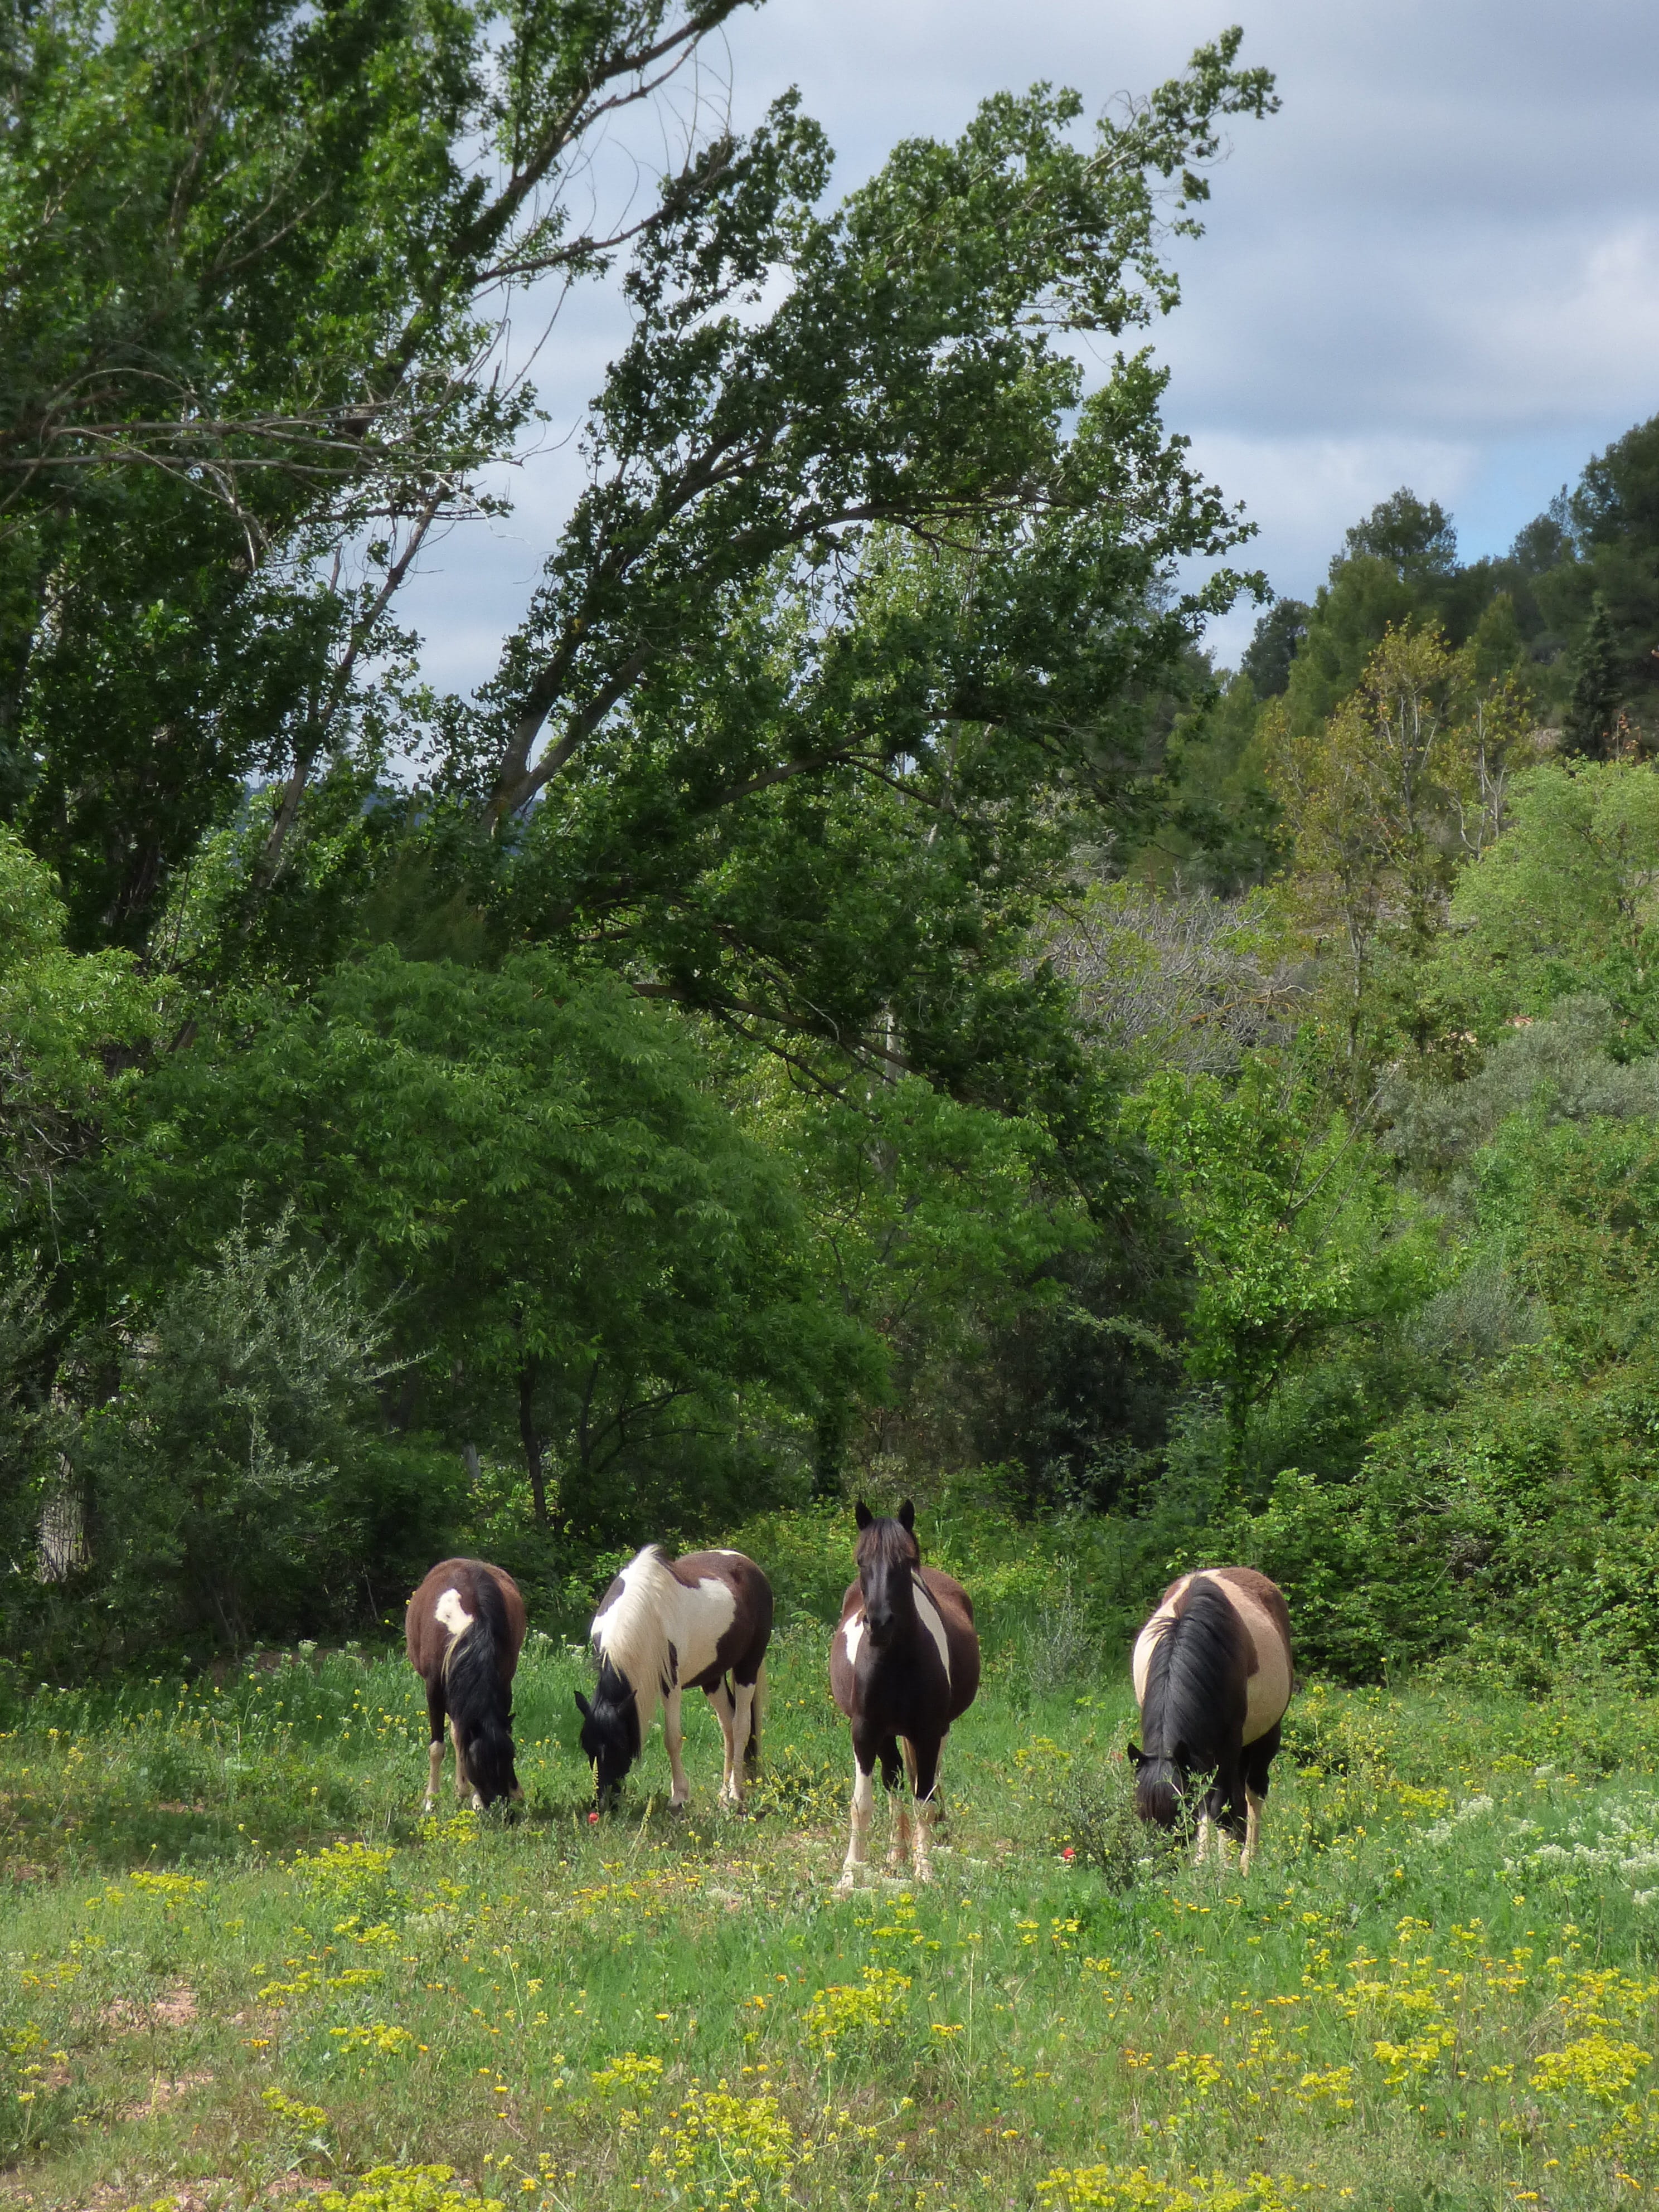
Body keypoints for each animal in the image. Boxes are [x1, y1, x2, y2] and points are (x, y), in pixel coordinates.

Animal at [405, 1557, 528, 1812]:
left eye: (510, 1755)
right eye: (480, 1762)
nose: (500, 1805)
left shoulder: (503, 1682)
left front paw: (476, 1797)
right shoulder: (434, 1688)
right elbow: (437, 1747)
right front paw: (431, 1799)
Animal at [575, 1546, 772, 1812]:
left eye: (619, 1745)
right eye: (587, 1745)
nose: (603, 1804)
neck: (646, 1611)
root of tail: (749, 1565)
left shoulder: (671, 1685)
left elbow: (672, 1739)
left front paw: (679, 1796)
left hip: (748, 1666)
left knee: (741, 1725)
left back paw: (735, 1793)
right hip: (713, 1678)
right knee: (728, 1726)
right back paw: (722, 1794)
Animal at [830, 1498, 980, 1890]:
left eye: (906, 1561)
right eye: (861, 1561)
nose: (879, 1624)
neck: (894, 1662)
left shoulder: (928, 1732)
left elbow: (923, 1800)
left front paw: (924, 1869)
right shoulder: (866, 1732)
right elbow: (862, 1804)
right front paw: (850, 1875)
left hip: (936, 1733)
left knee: (922, 1785)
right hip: (887, 1736)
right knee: (895, 1782)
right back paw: (896, 1854)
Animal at [1128, 1567, 1293, 1873]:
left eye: (1180, 1814)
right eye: (1143, 1813)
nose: (1165, 1869)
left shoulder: (1227, 1745)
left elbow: (1222, 1807)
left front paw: (1227, 1871)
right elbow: (1208, 1804)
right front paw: (1204, 1867)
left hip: (1263, 1737)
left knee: (1252, 1792)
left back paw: (1247, 1860)